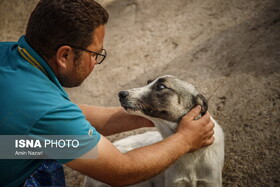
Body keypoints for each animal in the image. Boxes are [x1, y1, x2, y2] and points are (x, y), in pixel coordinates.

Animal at [84, 75, 224, 187]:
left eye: (161, 86)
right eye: (148, 82)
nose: (121, 94)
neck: (191, 153)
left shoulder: (211, 181)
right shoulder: (175, 182)